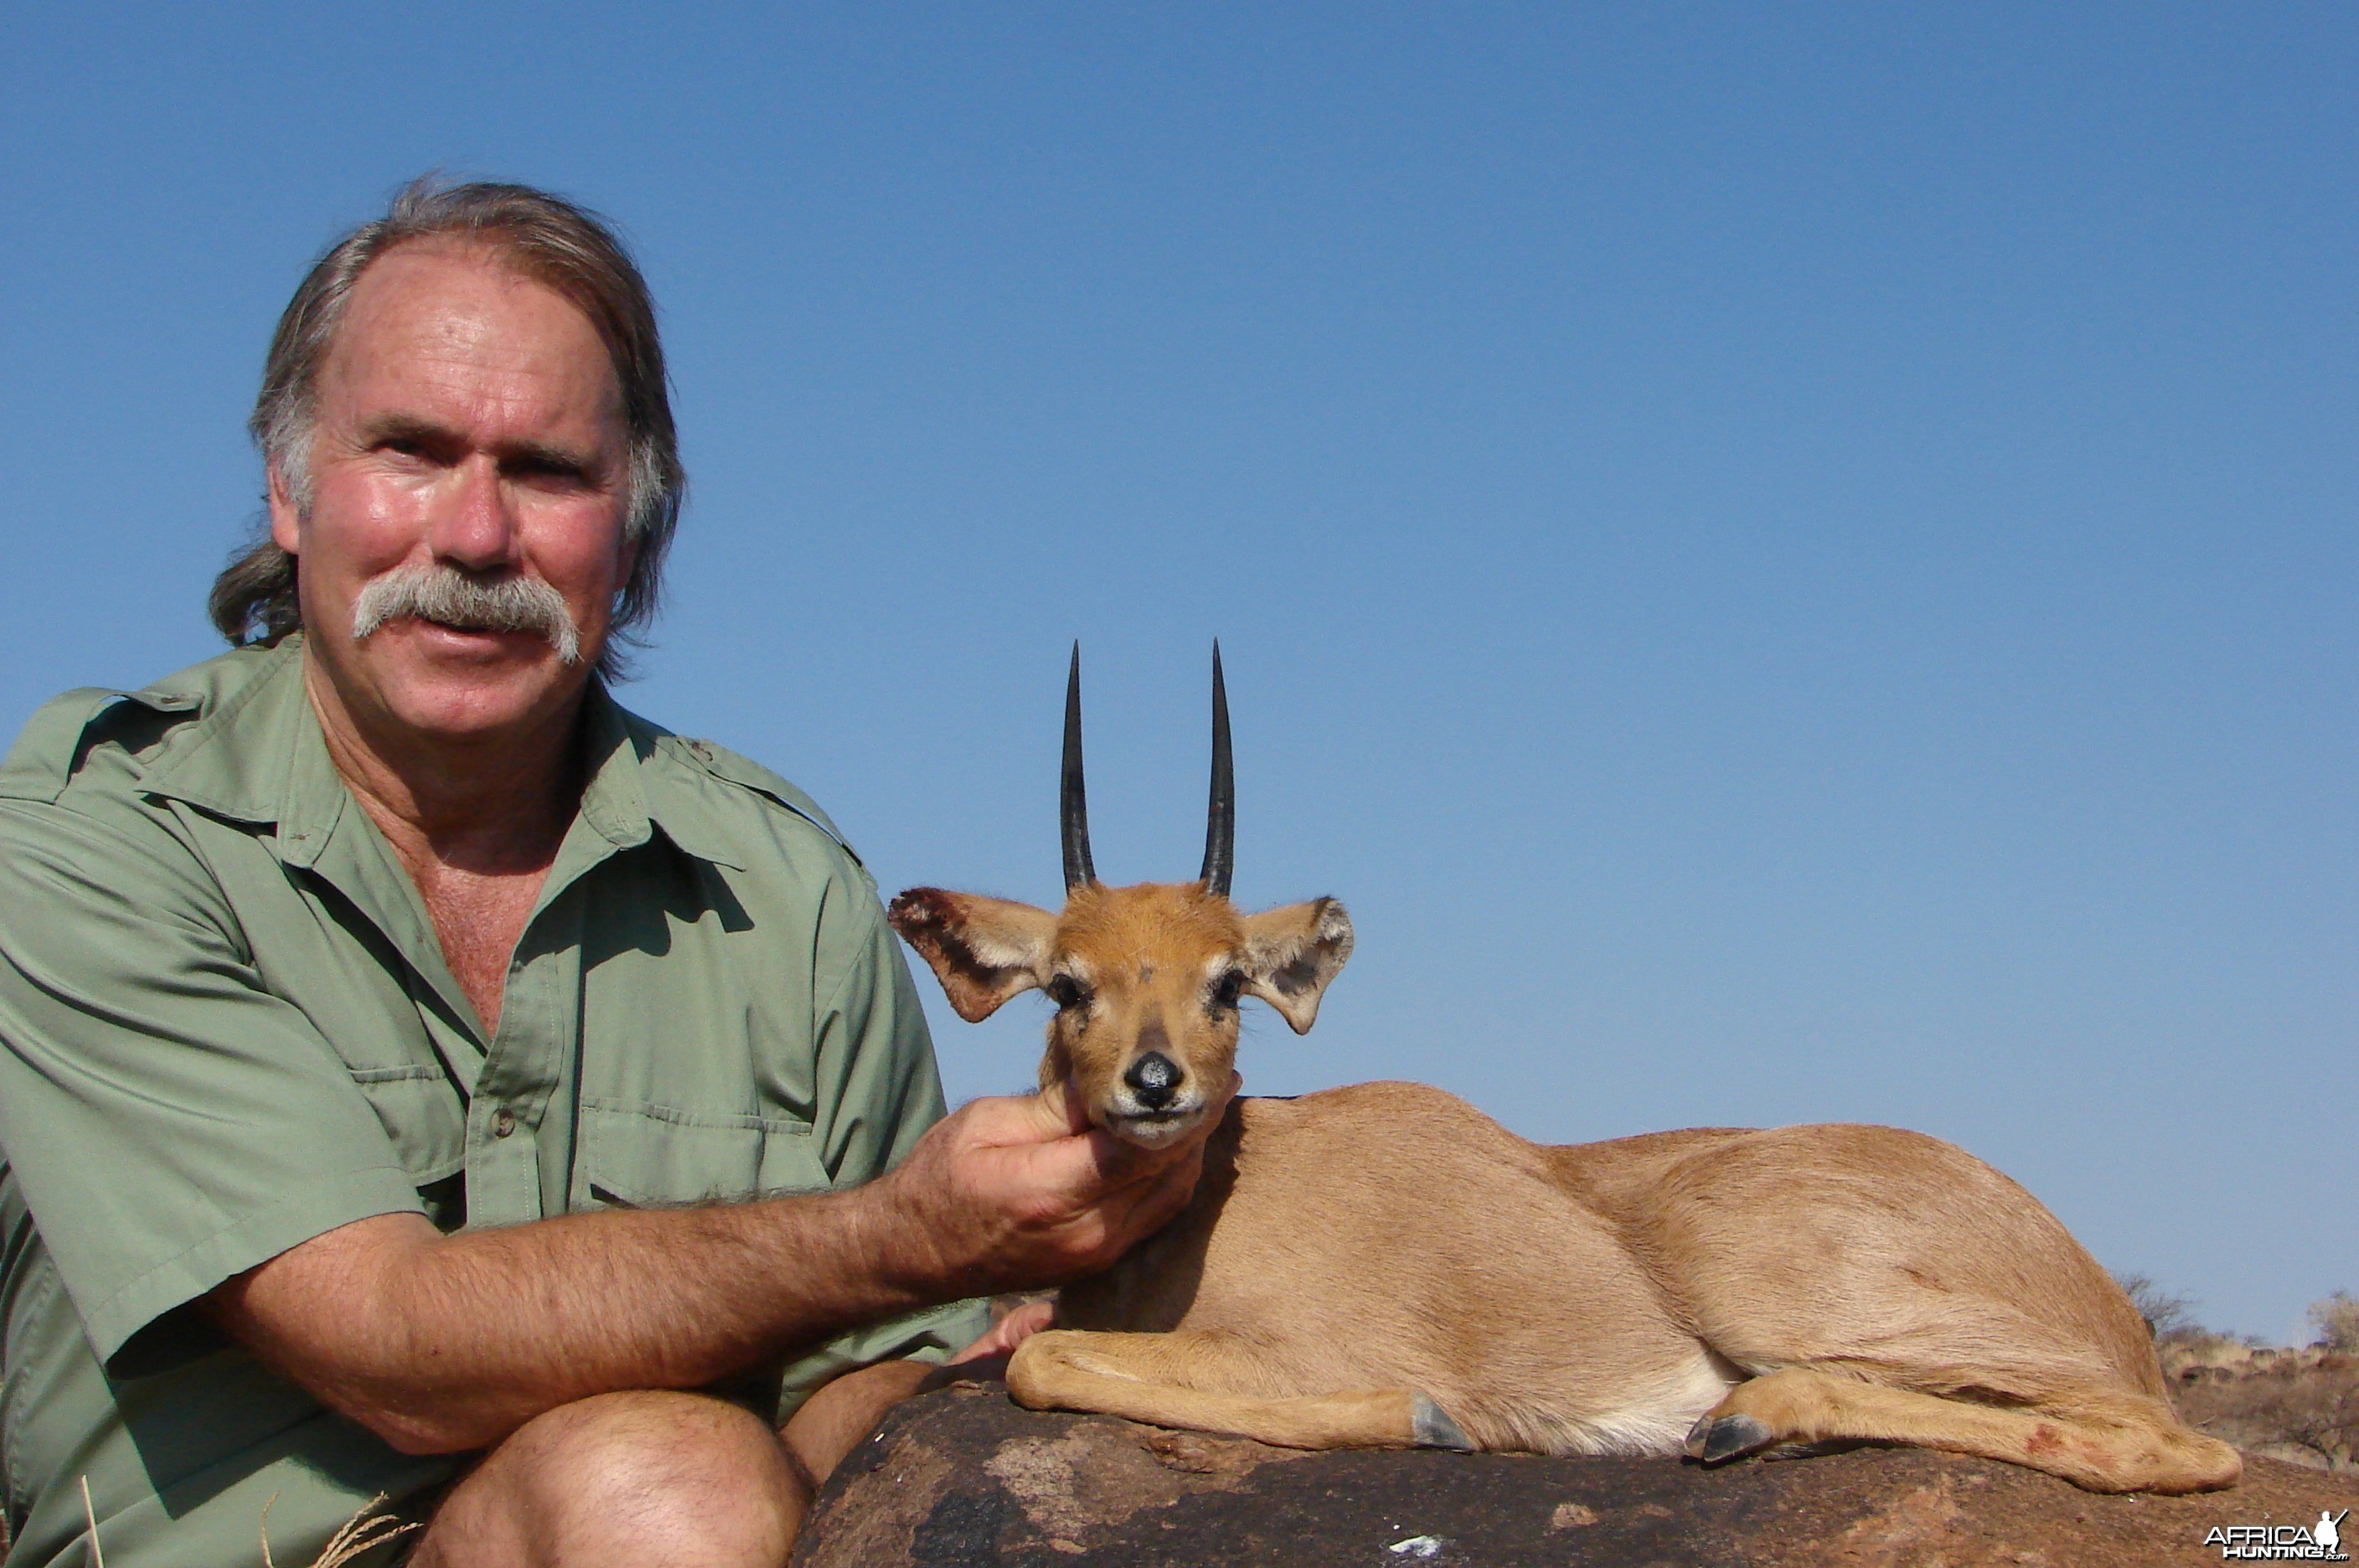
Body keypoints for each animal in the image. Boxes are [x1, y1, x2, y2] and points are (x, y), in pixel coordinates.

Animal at [886, 646, 2227, 1490]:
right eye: (1069, 985)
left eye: (1227, 982)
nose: (1156, 1086)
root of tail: (2093, 1289)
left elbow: (1045, 1363)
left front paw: (1431, 1416)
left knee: (2173, 1442)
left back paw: (1747, 1419)